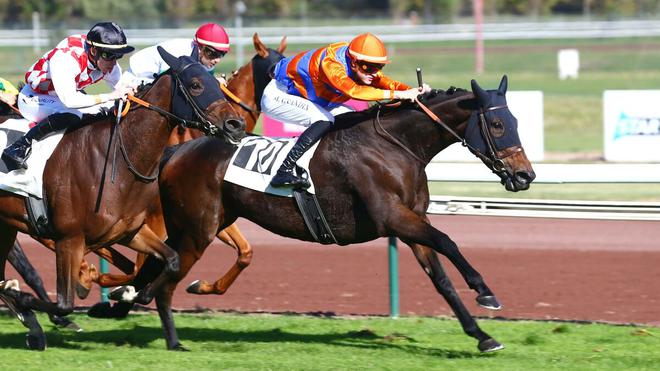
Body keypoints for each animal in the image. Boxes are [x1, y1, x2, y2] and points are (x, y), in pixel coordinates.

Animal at [0, 47, 245, 352]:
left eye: (217, 83)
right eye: (196, 85)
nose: (236, 125)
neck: (113, 156)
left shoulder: (130, 231)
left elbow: (171, 260)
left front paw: (130, 297)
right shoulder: (69, 239)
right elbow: (64, 303)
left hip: (7, 227)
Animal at [113, 75, 536, 352]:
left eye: (516, 121)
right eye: (497, 123)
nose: (525, 176)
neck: (396, 146)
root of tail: (176, 150)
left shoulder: (412, 223)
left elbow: (442, 280)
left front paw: (483, 336)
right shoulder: (394, 218)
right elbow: (449, 241)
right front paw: (486, 293)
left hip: (202, 223)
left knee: (158, 267)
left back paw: (121, 302)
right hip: (199, 229)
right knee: (166, 280)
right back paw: (169, 336)